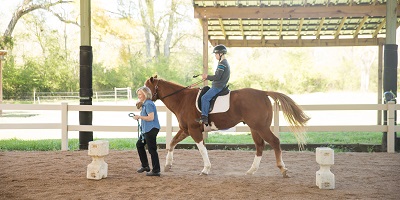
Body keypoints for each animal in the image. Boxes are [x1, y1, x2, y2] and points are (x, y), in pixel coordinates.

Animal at [144, 76, 310, 177]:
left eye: (146, 87)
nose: (140, 102)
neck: (182, 99)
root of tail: (263, 93)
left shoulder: (194, 130)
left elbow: (202, 149)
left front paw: (206, 169)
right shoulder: (186, 130)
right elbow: (172, 143)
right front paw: (168, 165)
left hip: (261, 127)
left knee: (274, 142)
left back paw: (282, 169)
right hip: (255, 128)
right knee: (260, 146)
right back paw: (251, 170)